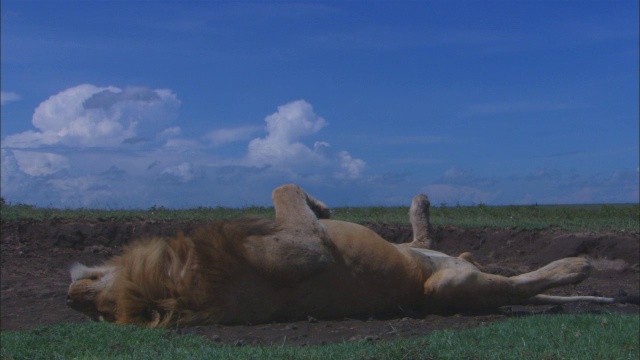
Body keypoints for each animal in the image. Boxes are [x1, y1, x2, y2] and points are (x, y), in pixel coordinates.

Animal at [67, 184, 628, 328]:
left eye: (97, 297)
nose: (71, 296)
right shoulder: (305, 247)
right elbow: (283, 186)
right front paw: (322, 205)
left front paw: (324, 205)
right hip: (447, 286)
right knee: (512, 284)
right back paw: (574, 266)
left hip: (430, 258)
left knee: (421, 238)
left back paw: (421, 202)